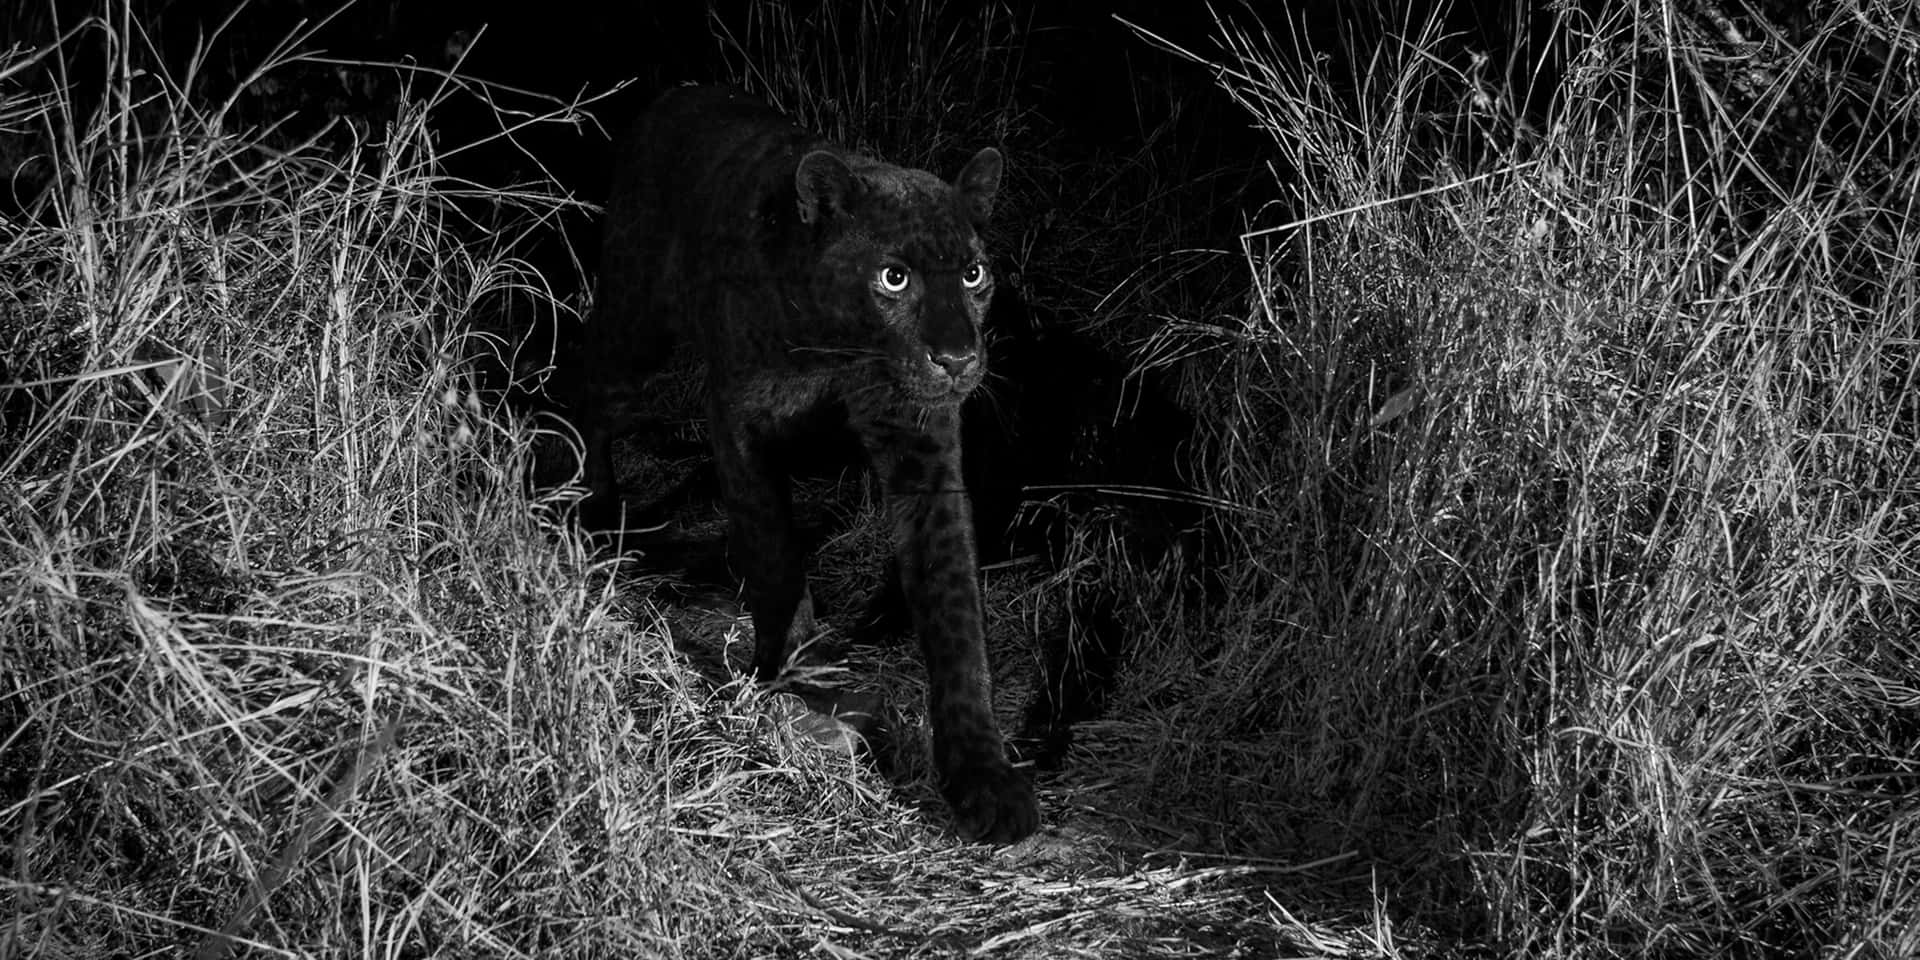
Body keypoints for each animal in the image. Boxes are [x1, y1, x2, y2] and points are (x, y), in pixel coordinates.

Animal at [566, 85, 1038, 844]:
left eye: (974, 274)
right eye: (893, 278)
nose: (958, 358)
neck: (840, 350)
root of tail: (674, 92)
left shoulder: (922, 446)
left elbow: (954, 608)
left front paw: (983, 777)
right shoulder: (740, 419)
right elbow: (774, 547)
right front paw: (794, 671)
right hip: (637, 329)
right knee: (583, 380)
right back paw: (587, 505)